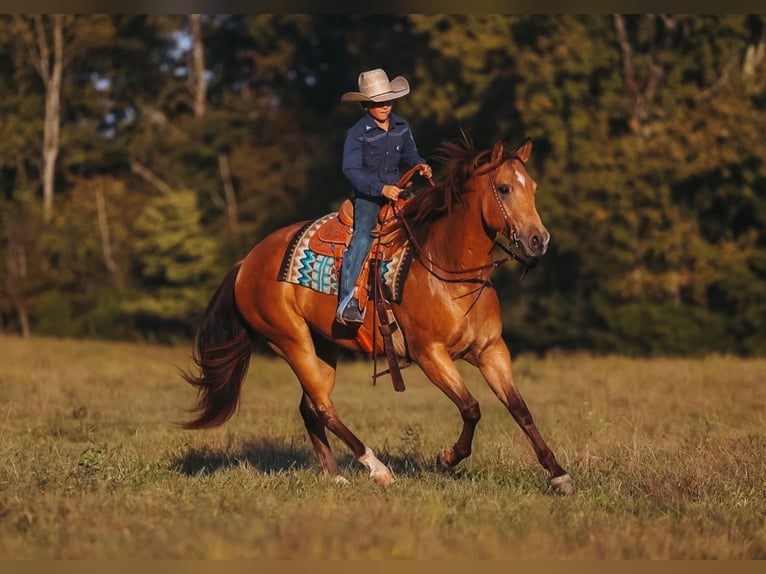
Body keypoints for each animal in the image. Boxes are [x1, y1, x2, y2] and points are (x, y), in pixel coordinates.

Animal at [181, 133, 574, 494]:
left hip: (323, 347)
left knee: (311, 407)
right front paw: (446, 459)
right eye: (504, 188)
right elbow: (471, 408)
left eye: (533, 187)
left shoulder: (492, 350)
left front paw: (558, 474)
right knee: (324, 407)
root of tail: (246, 263)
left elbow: (519, 408)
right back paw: (377, 468)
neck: (448, 269)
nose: (539, 239)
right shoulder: (430, 354)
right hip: (291, 341)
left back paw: (334, 475)